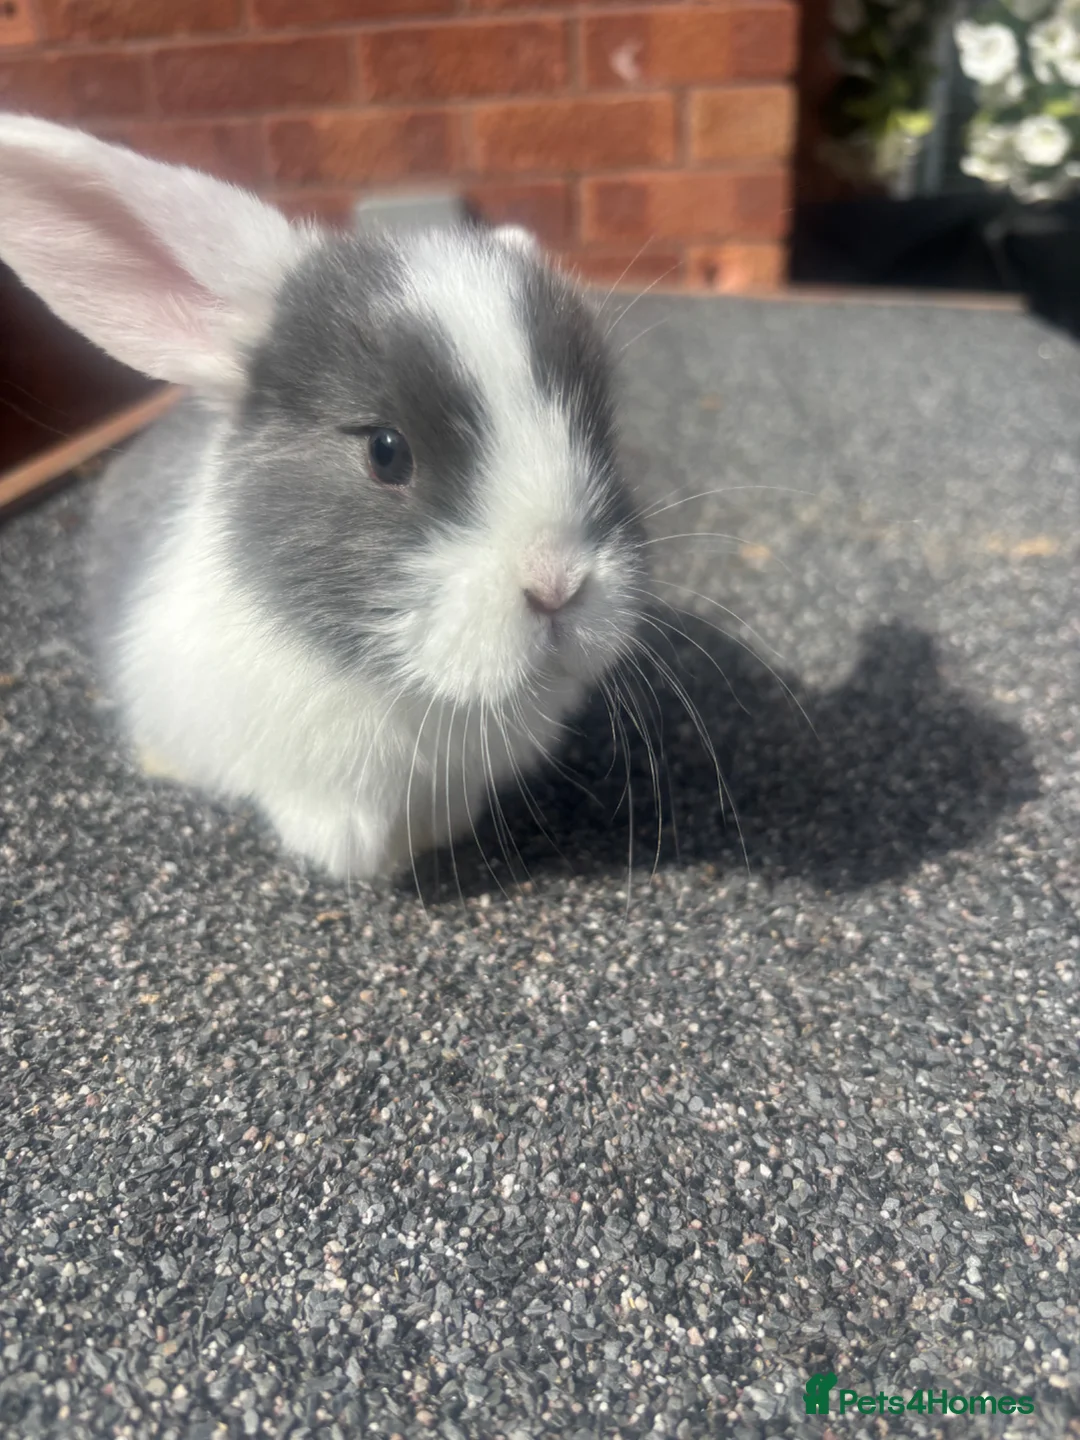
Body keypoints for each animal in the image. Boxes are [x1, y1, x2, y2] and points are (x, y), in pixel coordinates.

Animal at [0, 115, 646, 881]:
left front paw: (432, 838)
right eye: (386, 451)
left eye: (601, 427)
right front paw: (360, 858)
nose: (558, 585)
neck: (412, 695)